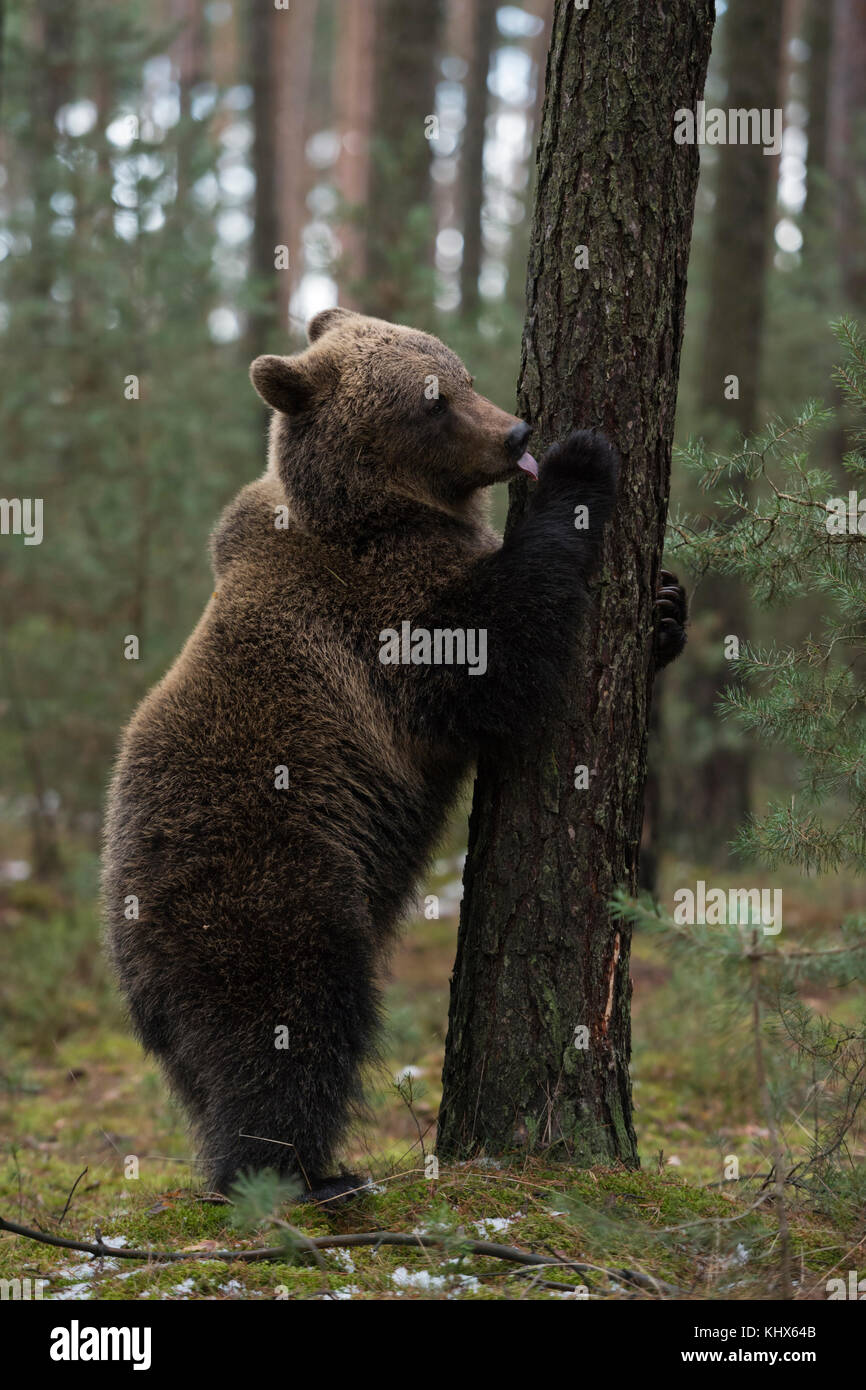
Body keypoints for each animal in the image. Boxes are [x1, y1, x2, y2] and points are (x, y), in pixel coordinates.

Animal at [102, 307, 687, 1202]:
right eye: (431, 402)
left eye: (463, 371)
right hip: (266, 880)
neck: (379, 513)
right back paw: (296, 1175)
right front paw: (581, 465)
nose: (517, 430)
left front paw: (665, 610)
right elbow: (487, 656)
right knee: (289, 1022)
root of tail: (124, 930)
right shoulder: (377, 614)